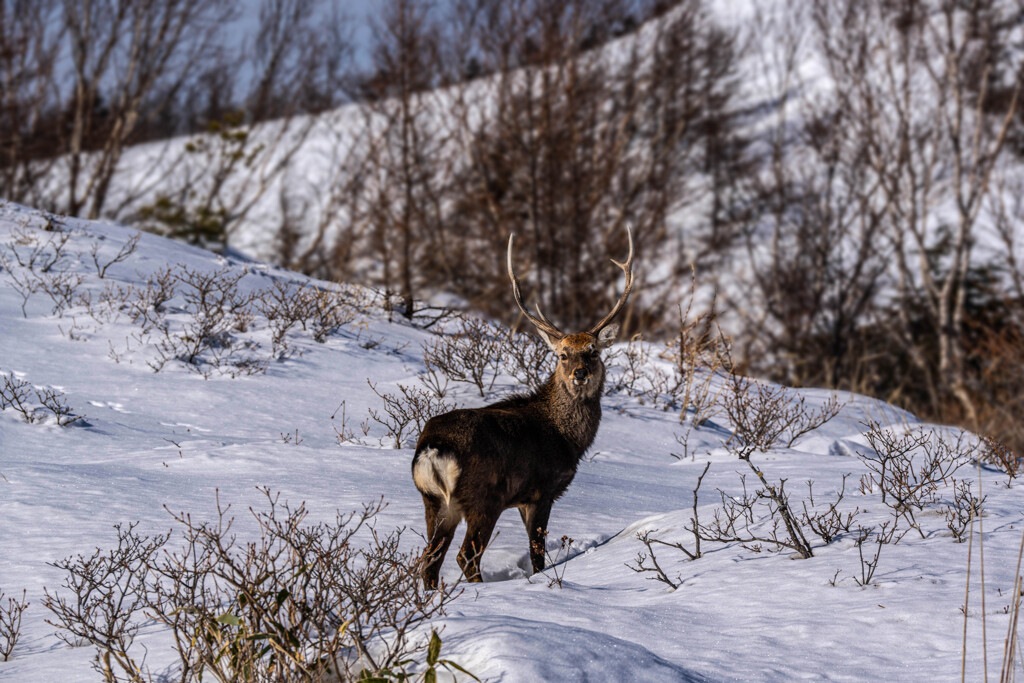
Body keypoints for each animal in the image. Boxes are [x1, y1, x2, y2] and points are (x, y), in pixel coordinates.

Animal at [409, 225, 630, 589]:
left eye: (594, 351)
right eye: (563, 354)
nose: (580, 373)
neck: (568, 439)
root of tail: (433, 448)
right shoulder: (542, 490)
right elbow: (537, 555)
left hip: (435, 501)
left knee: (430, 560)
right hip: (484, 497)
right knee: (465, 555)